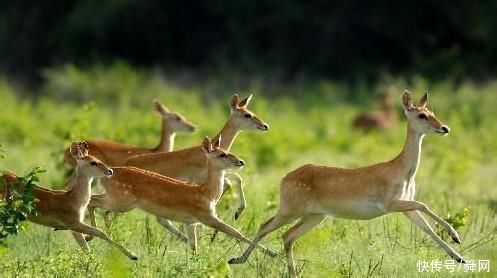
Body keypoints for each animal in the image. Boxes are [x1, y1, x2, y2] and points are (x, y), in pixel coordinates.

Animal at [0, 142, 137, 260]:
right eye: (93, 162)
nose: (110, 171)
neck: (73, 199)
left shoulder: (75, 228)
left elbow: (87, 247)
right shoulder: (74, 224)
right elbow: (100, 233)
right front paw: (133, 255)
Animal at [87, 136, 278, 258]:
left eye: (226, 149)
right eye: (221, 154)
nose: (240, 161)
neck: (206, 194)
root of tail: (107, 174)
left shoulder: (190, 223)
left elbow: (194, 248)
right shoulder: (206, 216)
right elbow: (237, 232)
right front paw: (273, 253)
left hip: (117, 199)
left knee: (93, 201)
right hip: (121, 200)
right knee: (92, 201)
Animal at [109, 94, 268, 240]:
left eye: (250, 111)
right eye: (247, 114)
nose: (265, 125)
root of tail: (126, 163)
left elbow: (236, 179)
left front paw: (235, 214)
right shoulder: (200, 179)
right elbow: (230, 182)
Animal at [229, 90, 464, 276]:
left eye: (433, 112)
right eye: (422, 115)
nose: (445, 128)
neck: (402, 171)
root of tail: (284, 178)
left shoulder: (404, 204)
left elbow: (427, 228)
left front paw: (459, 255)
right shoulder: (389, 203)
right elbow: (424, 205)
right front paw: (456, 236)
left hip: (315, 215)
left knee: (288, 235)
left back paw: (290, 271)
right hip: (291, 208)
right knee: (265, 225)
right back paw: (237, 259)